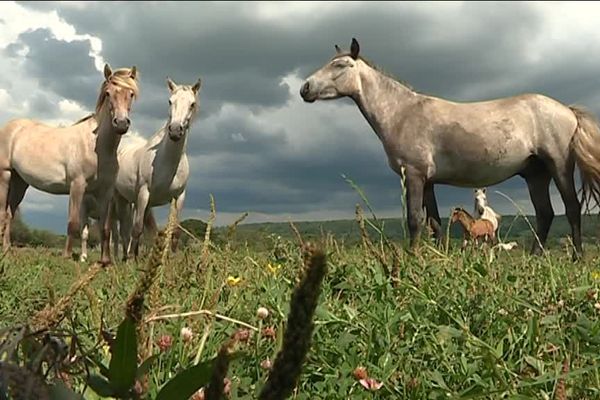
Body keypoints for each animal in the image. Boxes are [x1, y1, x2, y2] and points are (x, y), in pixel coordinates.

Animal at [0, 65, 137, 266]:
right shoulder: (77, 186)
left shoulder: (105, 192)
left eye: (131, 93)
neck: (96, 146)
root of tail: (11, 127)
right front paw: (67, 257)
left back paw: (7, 250)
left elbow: (105, 228)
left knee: (10, 213)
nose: (120, 123)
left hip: (20, 182)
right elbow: (73, 223)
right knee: (3, 213)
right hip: (6, 175)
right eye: (108, 93)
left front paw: (105, 261)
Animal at [110, 77, 199, 260]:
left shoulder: (179, 197)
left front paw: (172, 261)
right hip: (121, 198)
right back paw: (124, 258)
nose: (175, 130)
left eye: (192, 104)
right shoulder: (144, 193)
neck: (166, 161)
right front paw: (131, 262)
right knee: (123, 231)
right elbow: (137, 229)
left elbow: (175, 232)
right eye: (170, 101)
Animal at [302, 39, 600, 260]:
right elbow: (434, 223)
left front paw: (413, 259)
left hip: (559, 166)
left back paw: (577, 258)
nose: (305, 88)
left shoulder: (414, 175)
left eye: (341, 65)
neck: (402, 113)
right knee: (545, 213)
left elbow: (414, 219)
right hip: (536, 174)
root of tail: (567, 110)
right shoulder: (428, 181)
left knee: (571, 208)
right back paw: (535, 258)